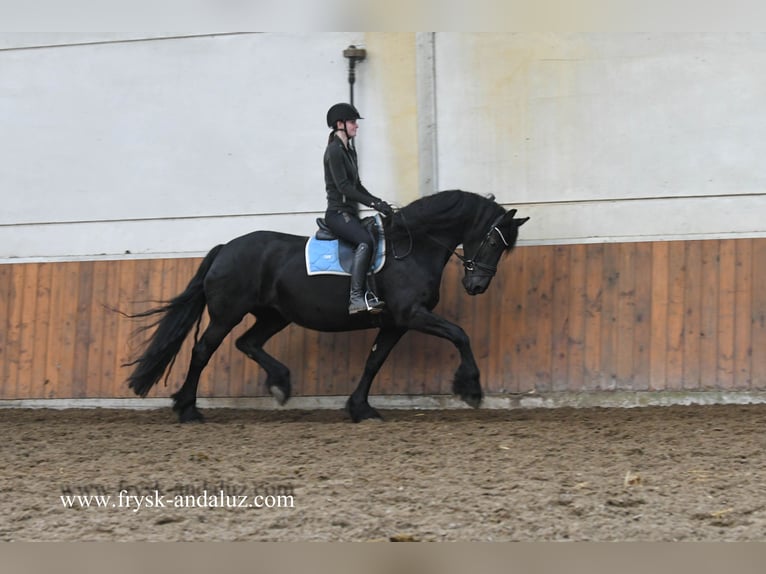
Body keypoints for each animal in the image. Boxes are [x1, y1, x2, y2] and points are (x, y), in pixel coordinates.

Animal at [127, 189, 536, 424]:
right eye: (494, 242)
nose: (476, 286)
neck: (413, 247)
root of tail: (225, 247)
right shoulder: (412, 315)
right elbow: (460, 335)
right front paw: (471, 390)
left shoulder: (395, 322)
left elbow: (374, 361)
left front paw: (361, 409)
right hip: (228, 313)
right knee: (202, 351)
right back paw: (188, 410)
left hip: (274, 315)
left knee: (248, 343)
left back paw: (280, 383)